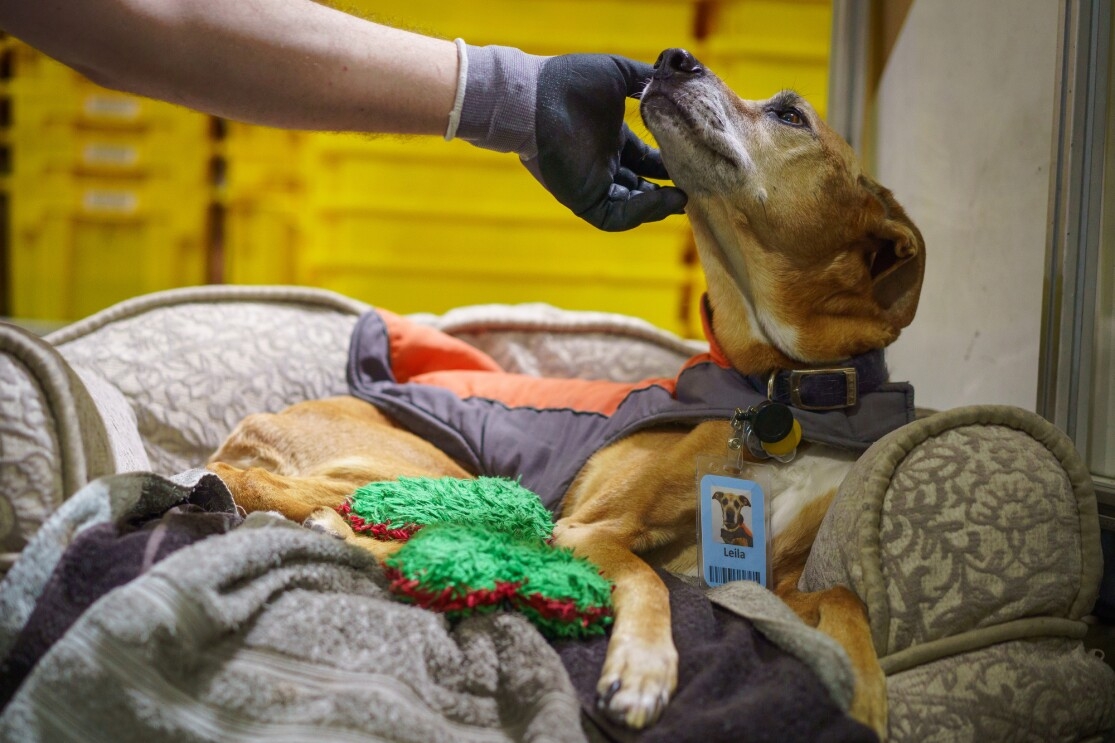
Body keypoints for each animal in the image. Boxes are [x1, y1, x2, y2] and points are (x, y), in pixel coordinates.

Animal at [207, 47, 923, 736]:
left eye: (790, 115)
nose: (671, 60)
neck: (786, 396)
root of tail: (250, 429)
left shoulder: (766, 581)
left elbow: (845, 598)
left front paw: (870, 702)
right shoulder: (591, 528)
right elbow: (648, 579)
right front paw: (643, 667)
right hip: (433, 477)